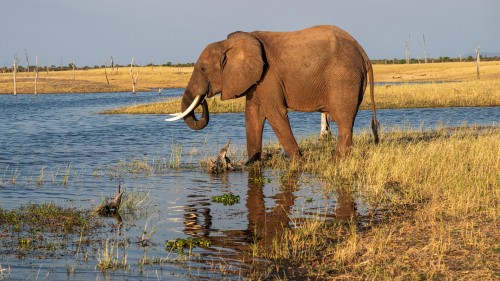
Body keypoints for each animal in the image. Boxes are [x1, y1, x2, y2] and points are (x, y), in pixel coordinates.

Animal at [167, 25, 378, 164]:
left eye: (203, 68)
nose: (203, 100)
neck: (229, 44)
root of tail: (362, 51)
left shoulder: (268, 76)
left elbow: (275, 113)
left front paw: (299, 164)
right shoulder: (256, 80)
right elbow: (252, 114)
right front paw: (251, 164)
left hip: (344, 76)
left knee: (343, 119)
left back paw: (336, 161)